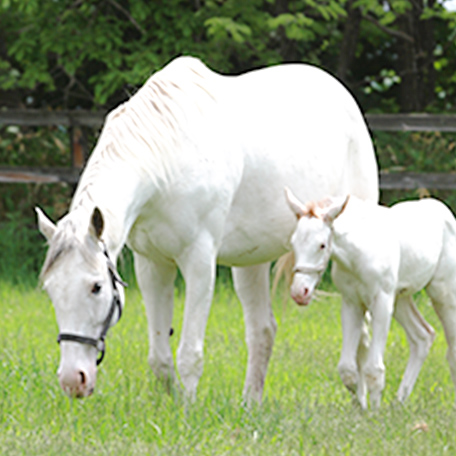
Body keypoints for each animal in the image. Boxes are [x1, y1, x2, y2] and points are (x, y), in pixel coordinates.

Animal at [35, 55, 378, 400]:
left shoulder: (199, 261)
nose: (72, 380)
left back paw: (361, 399)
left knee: (363, 331)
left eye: (96, 287)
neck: (167, 161)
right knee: (262, 331)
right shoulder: (152, 265)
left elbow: (189, 355)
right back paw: (251, 404)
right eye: (50, 290)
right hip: (251, 262)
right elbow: (159, 358)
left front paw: (187, 408)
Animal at [286, 189, 456, 410]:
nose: (300, 292)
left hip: (442, 293)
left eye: (322, 245)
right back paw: (399, 402)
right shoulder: (352, 303)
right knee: (423, 336)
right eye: (293, 243)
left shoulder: (381, 302)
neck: (357, 253)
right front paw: (362, 409)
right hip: (400, 299)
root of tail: (444, 211)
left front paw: (375, 413)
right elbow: (347, 369)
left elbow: (374, 369)